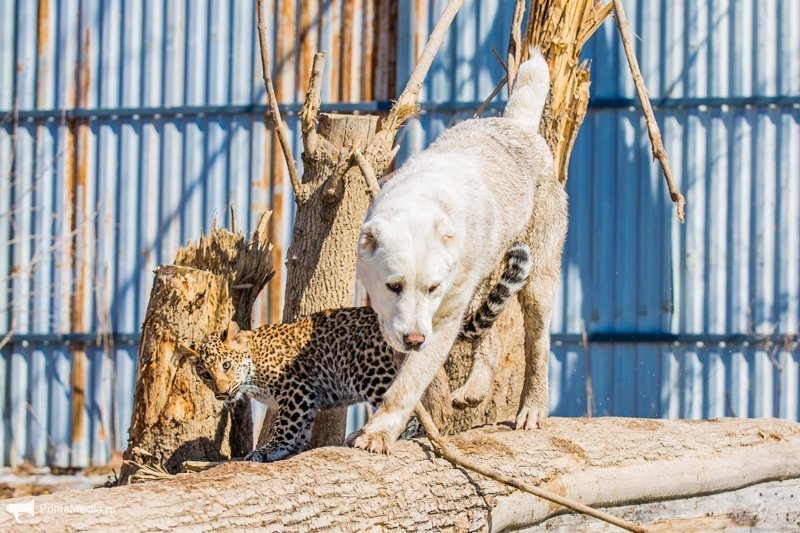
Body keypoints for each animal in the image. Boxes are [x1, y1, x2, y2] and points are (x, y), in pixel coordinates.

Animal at [352, 50, 568, 450]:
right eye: (393, 286)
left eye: (432, 287)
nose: (415, 340)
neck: (420, 204)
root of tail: (517, 125)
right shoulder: (391, 318)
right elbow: (413, 375)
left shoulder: (444, 317)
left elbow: (407, 384)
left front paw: (380, 433)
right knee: (491, 335)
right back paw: (474, 389)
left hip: (537, 278)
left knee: (538, 344)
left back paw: (532, 409)